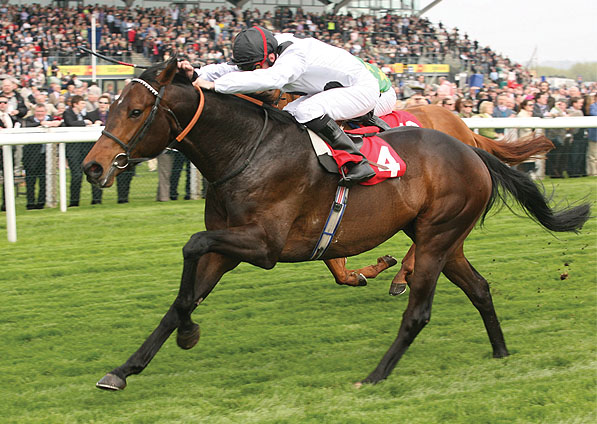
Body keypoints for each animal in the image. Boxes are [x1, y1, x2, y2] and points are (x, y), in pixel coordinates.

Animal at [82, 58, 588, 390]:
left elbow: (192, 243)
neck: (247, 150)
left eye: (134, 111)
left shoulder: (263, 246)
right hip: (444, 238)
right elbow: (181, 299)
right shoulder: (229, 248)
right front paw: (126, 369)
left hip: (436, 236)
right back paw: (500, 352)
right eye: (111, 106)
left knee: (419, 310)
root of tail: (470, 147)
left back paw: (376, 373)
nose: (92, 166)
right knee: (479, 288)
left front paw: (188, 335)